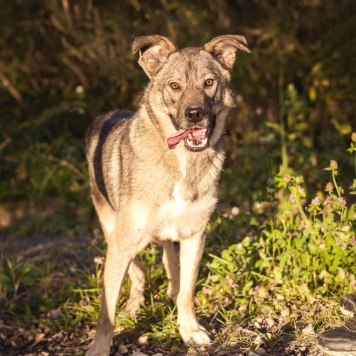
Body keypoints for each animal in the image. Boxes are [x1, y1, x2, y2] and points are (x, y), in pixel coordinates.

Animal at [84, 34, 250, 356]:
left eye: (209, 82)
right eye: (174, 86)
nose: (195, 114)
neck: (181, 159)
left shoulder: (195, 234)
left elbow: (187, 291)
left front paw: (190, 331)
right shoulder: (123, 241)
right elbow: (106, 311)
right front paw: (99, 347)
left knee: (168, 261)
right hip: (112, 226)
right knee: (137, 273)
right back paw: (134, 305)